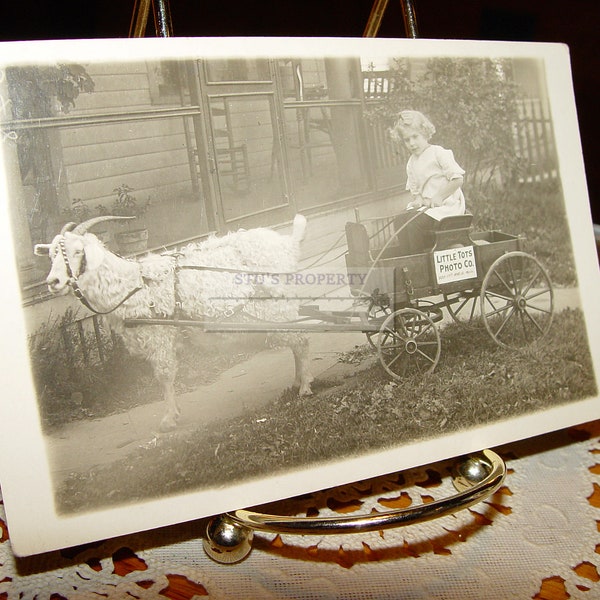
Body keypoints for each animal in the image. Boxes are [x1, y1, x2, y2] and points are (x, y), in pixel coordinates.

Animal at [34, 216, 312, 432]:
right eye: (52, 254)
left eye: (77, 251)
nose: (53, 282)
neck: (133, 285)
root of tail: (288, 245)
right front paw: (173, 412)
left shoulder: (159, 335)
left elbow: (164, 375)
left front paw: (169, 418)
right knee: (296, 340)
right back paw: (297, 381)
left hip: (277, 307)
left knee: (302, 339)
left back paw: (305, 386)